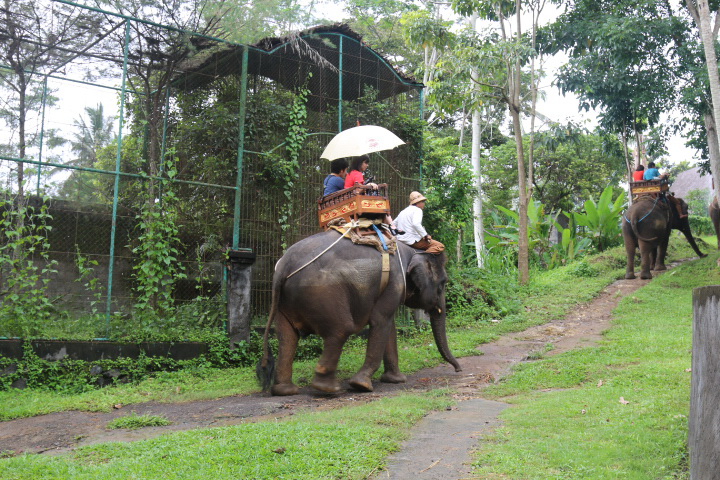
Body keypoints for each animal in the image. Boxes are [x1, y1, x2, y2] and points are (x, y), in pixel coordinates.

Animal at [257, 229, 461, 396]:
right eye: (443, 284)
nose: (458, 369)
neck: (411, 251)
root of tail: (283, 266)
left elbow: (389, 325)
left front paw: (396, 380)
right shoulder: (395, 282)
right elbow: (380, 321)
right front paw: (361, 385)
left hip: (286, 300)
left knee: (287, 336)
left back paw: (285, 390)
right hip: (323, 293)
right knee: (340, 330)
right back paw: (329, 389)